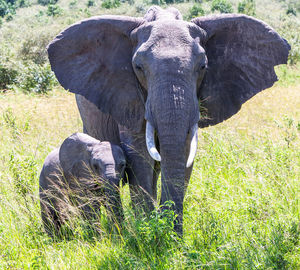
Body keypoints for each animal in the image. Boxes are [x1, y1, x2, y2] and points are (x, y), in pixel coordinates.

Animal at [47, 6, 290, 234]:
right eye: (138, 67)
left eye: (203, 66)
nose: (169, 228)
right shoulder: (128, 96)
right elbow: (139, 155)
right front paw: (148, 231)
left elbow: (184, 153)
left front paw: (169, 236)